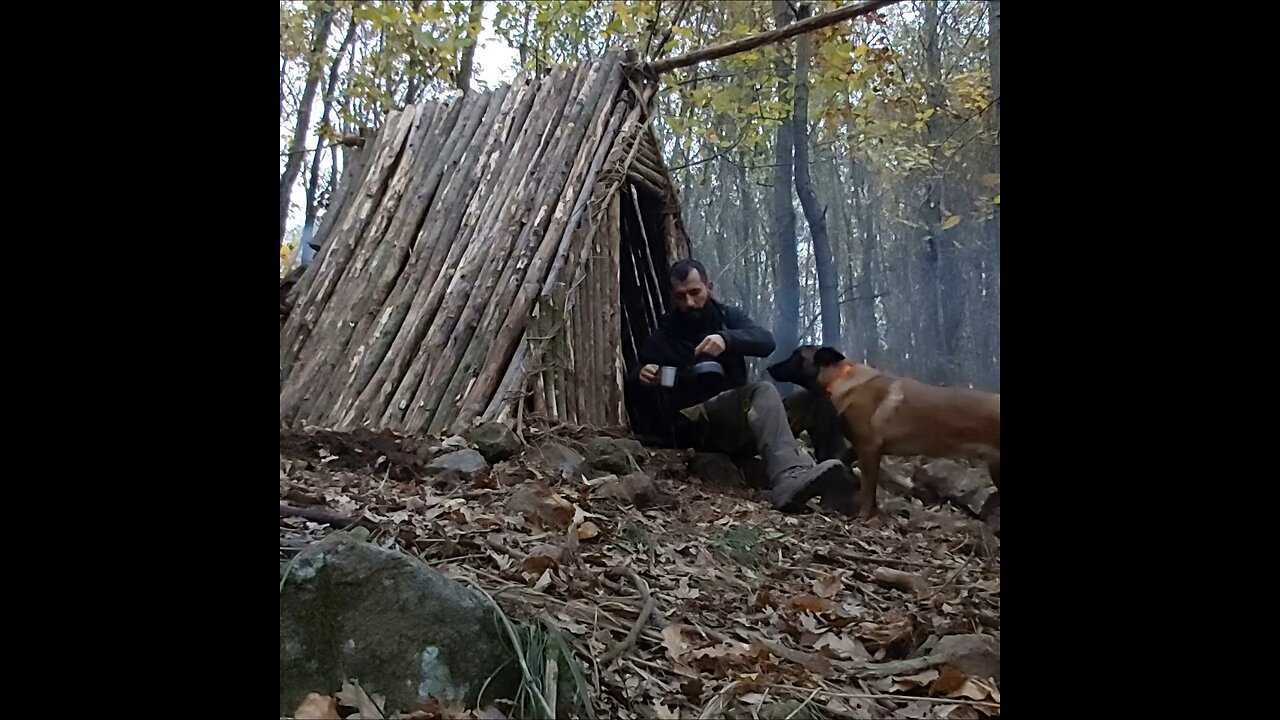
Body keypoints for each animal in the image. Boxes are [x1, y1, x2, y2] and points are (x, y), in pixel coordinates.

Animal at [768, 345, 998, 517]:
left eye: (796, 356)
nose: (770, 367)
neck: (841, 378)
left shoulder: (869, 447)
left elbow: (868, 490)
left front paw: (864, 515)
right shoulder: (863, 447)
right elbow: (848, 460)